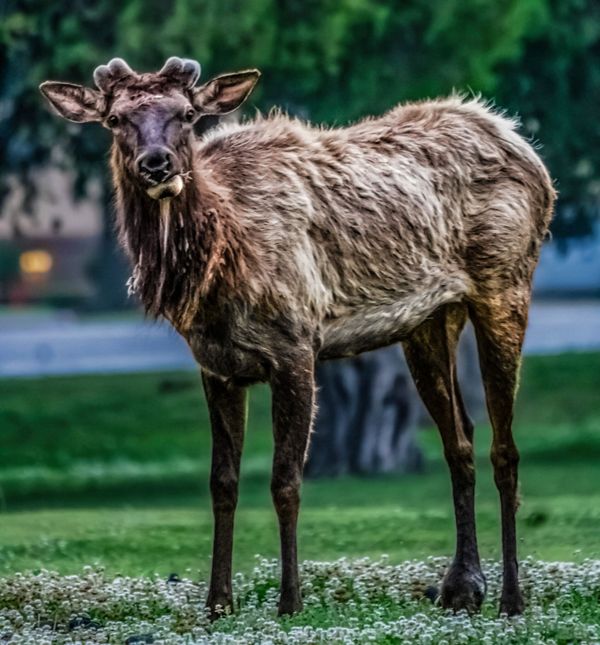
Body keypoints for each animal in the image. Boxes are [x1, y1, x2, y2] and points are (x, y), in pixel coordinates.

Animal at [39, 59, 556, 620]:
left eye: (188, 115)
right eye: (114, 119)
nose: (157, 165)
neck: (216, 270)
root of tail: (526, 150)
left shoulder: (295, 345)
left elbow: (285, 481)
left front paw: (289, 600)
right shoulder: (216, 365)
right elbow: (222, 482)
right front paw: (217, 603)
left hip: (505, 281)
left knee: (505, 449)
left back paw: (511, 598)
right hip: (429, 319)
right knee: (458, 440)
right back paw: (461, 587)